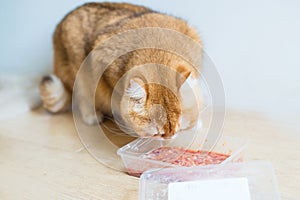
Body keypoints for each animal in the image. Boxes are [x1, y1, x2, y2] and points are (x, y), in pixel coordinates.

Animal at [39, 1, 202, 139]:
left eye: (178, 128)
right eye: (158, 133)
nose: (170, 137)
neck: (158, 48)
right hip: (80, 72)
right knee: (82, 96)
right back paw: (92, 116)